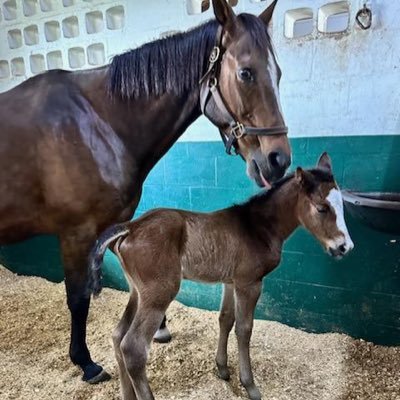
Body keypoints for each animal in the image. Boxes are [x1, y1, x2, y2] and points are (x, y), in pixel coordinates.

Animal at [88, 153, 354, 400]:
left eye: (342, 206)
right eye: (321, 208)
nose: (345, 247)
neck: (257, 227)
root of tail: (130, 227)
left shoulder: (230, 282)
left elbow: (225, 319)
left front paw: (223, 369)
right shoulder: (250, 283)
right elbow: (244, 329)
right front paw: (250, 385)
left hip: (137, 292)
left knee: (118, 336)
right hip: (158, 294)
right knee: (133, 348)